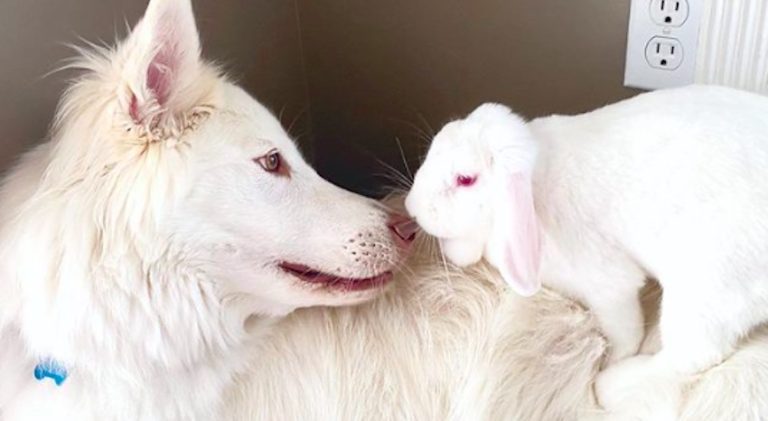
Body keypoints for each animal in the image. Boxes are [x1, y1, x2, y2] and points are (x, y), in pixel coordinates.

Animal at [405, 84, 768, 410]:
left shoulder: (609, 286)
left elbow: (625, 333)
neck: (536, 183)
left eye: (465, 180)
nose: (411, 207)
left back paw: (610, 385)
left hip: (706, 287)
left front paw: (609, 361)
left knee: (694, 355)